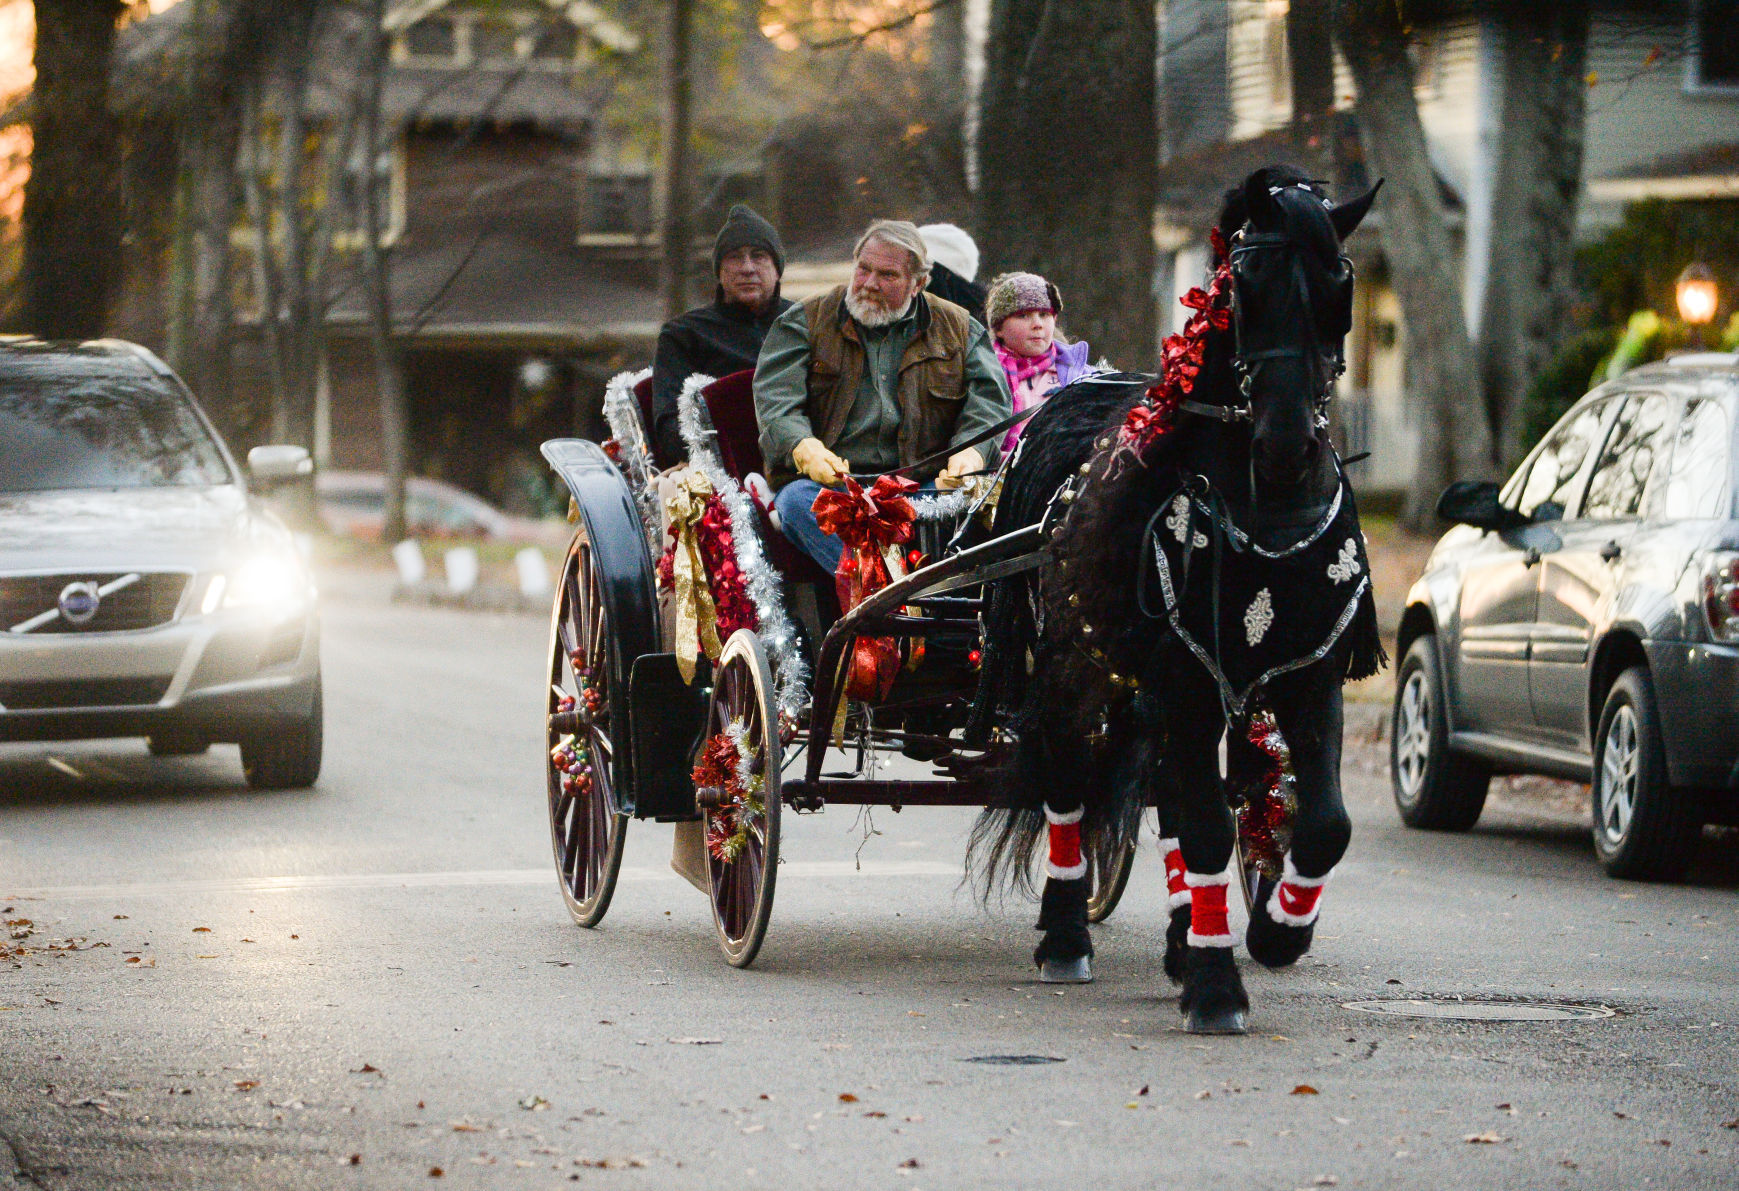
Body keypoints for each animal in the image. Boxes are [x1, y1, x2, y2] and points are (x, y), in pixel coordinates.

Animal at [973, 165, 1377, 1029]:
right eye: (1241, 285)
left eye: (1340, 281)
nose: (1286, 443)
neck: (1265, 508)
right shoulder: (1185, 676)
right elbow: (1205, 828)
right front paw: (1217, 983)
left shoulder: (1308, 671)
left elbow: (1322, 823)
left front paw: (1276, 930)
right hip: (1071, 658)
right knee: (1066, 776)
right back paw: (1067, 934)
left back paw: (1182, 931)